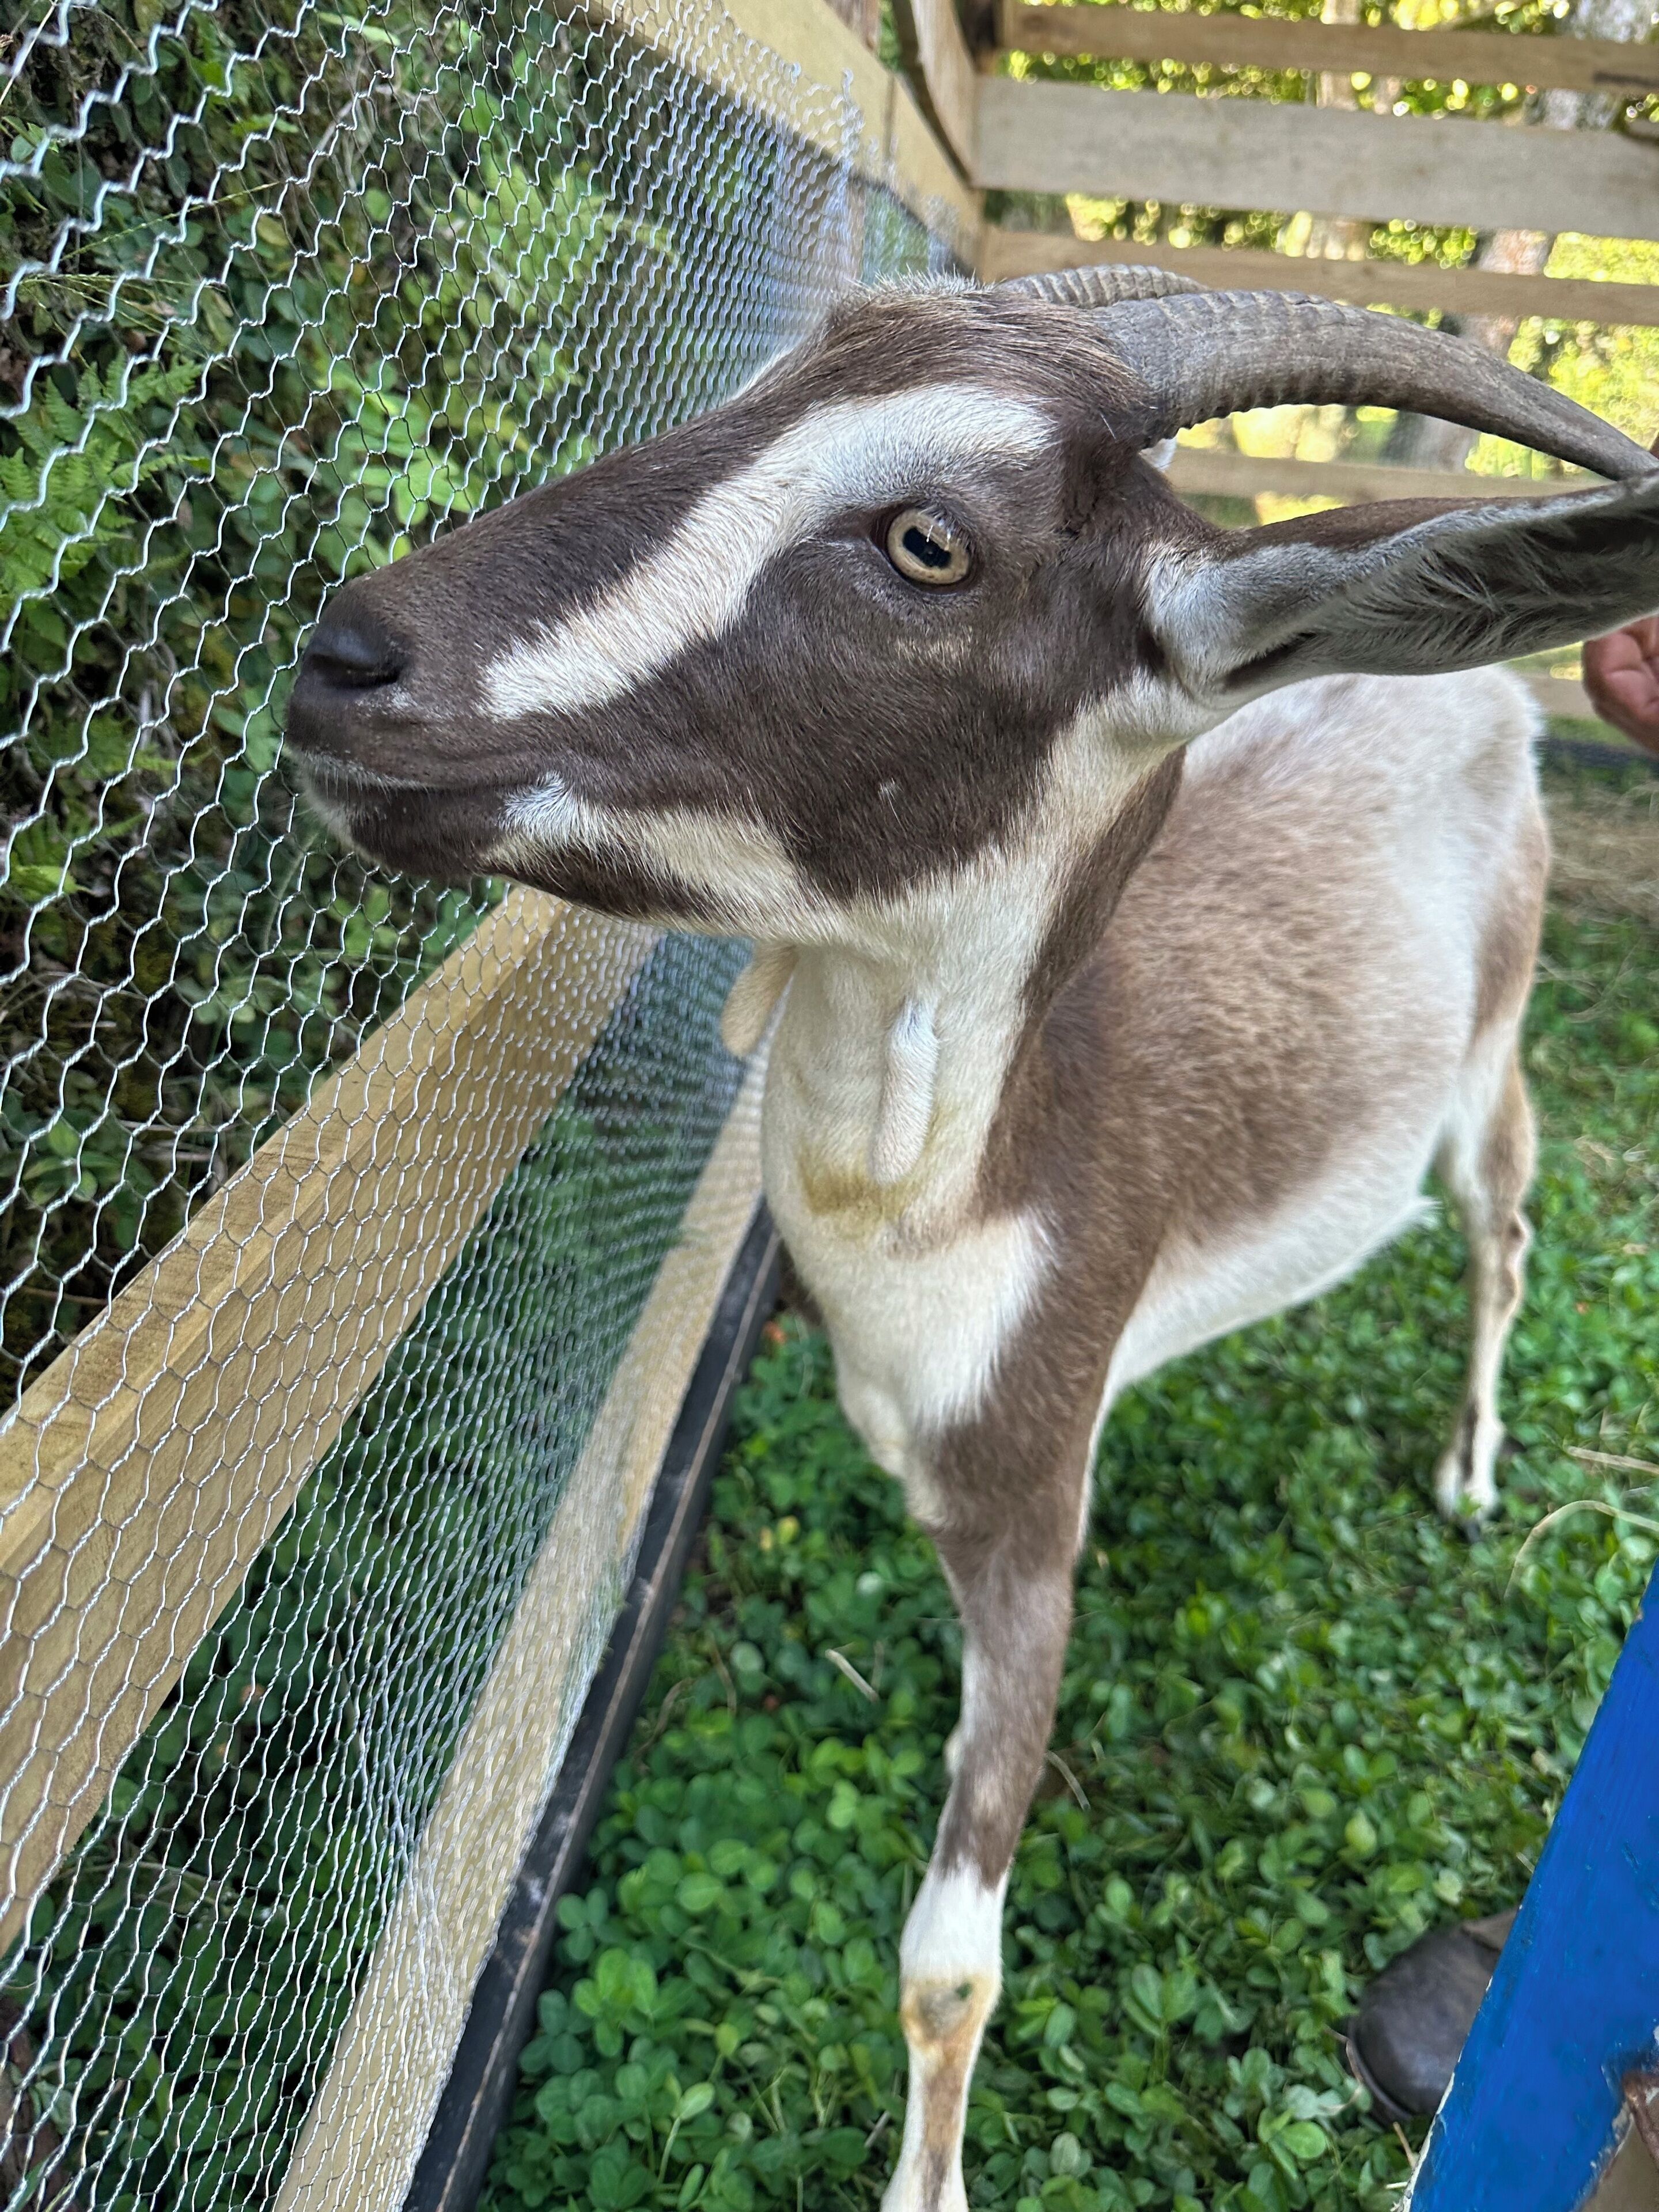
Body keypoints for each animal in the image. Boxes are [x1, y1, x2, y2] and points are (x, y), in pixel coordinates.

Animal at [284, 271, 1659, 2212]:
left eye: (931, 543)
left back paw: (1471, 1467)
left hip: (1493, 1046)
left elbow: (949, 1962)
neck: (971, 1199)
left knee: (1504, 1225)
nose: (350, 657)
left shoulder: (1030, 1516)